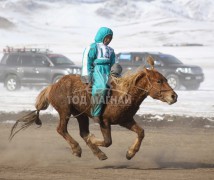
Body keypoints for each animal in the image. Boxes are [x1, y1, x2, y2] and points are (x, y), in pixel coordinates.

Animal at [9, 60, 177, 160]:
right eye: (159, 81)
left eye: (165, 79)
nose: (174, 96)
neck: (123, 94)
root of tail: (53, 86)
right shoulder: (105, 121)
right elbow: (108, 141)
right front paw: (94, 140)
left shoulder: (125, 120)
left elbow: (141, 132)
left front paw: (130, 153)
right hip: (65, 112)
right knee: (61, 129)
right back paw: (77, 149)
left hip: (81, 115)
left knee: (82, 132)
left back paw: (98, 153)